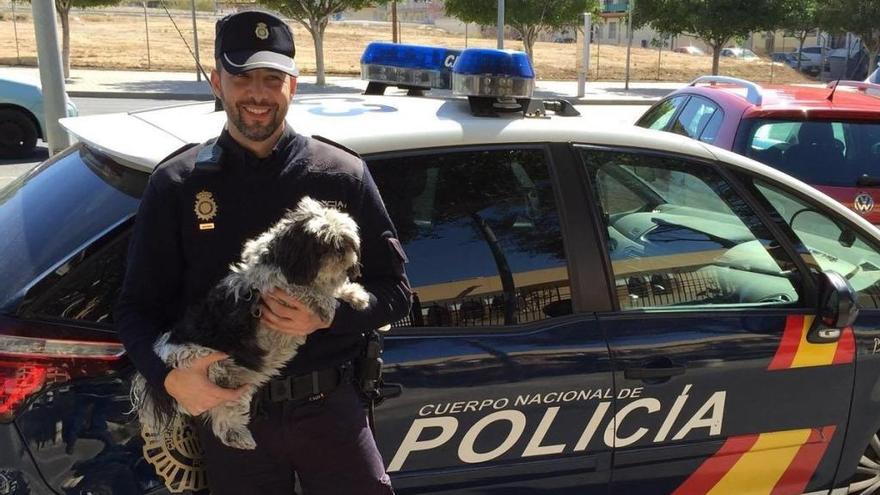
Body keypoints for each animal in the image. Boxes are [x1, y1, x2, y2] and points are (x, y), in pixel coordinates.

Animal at [129, 197, 370, 450]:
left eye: (346, 239)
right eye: (323, 242)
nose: (342, 249)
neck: (282, 260)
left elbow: (333, 289)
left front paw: (355, 294)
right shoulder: (276, 287)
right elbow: (307, 291)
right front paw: (327, 305)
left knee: (223, 421)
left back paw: (239, 437)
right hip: (201, 362)